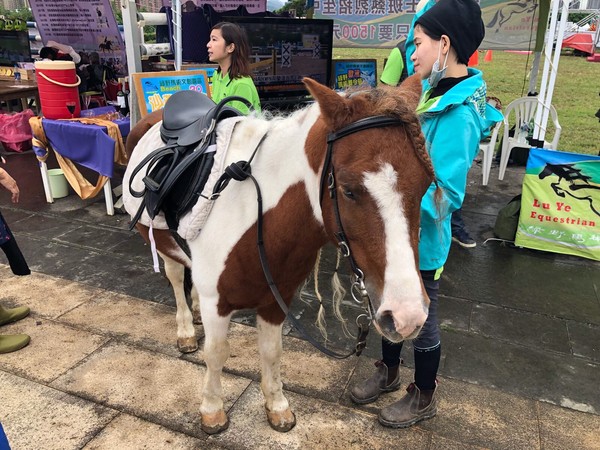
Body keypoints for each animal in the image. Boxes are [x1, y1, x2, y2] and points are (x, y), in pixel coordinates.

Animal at [124, 76, 438, 432]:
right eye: (348, 190)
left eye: (426, 184)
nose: (407, 316)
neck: (257, 213)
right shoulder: (218, 301)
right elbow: (216, 353)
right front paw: (213, 411)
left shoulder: (276, 299)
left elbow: (272, 352)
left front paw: (276, 405)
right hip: (163, 247)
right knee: (177, 279)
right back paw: (187, 331)